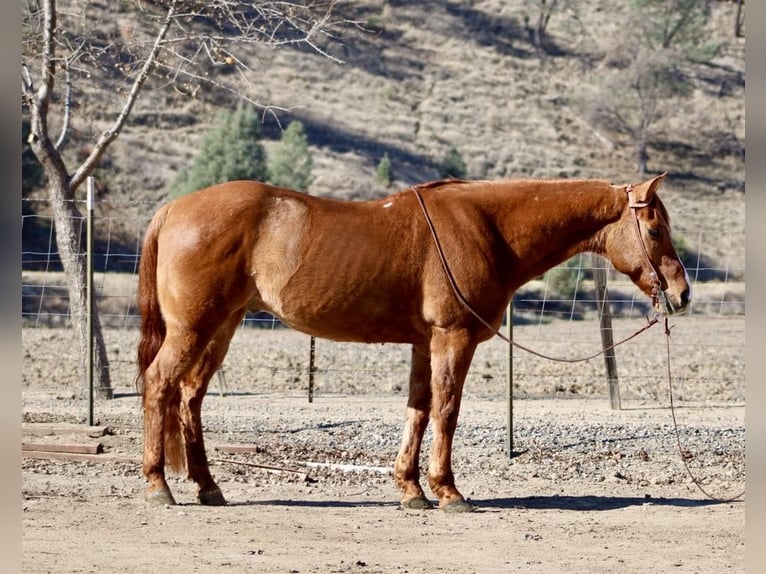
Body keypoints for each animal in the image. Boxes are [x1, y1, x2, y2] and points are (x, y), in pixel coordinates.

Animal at [136, 173, 691, 512]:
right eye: (655, 228)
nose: (682, 293)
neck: (488, 228)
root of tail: (173, 209)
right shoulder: (453, 339)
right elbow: (446, 410)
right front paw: (448, 491)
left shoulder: (426, 345)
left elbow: (419, 409)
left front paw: (411, 490)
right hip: (193, 328)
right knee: (159, 386)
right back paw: (159, 484)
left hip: (221, 327)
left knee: (190, 395)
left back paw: (207, 486)